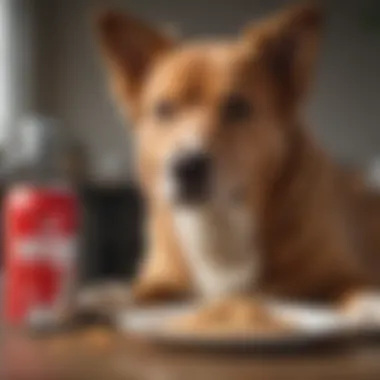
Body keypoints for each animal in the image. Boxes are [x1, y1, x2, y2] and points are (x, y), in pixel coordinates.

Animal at [93, 2, 380, 324]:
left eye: (237, 107)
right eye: (163, 109)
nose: (186, 167)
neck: (218, 222)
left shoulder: (342, 273)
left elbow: (352, 287)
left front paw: (369, 303)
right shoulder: (164, 278)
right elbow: (143, 289)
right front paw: (107, 295)